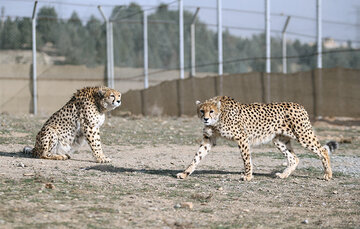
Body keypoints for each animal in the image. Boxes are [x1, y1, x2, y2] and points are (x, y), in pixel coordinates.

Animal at [176, 95, 338, 182]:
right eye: (201, 111)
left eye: (211, 111)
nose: (206, 119)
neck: (219, 117)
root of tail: (299, 105)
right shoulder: (209, 139)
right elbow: (197, 157)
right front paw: (185, 173)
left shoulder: (242, 138)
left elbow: (246, 159)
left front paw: (248, 176)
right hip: (279, 140)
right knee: (294, 158)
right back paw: (283, 175)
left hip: (303, 136)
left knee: (323, 150)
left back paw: (328, 174)